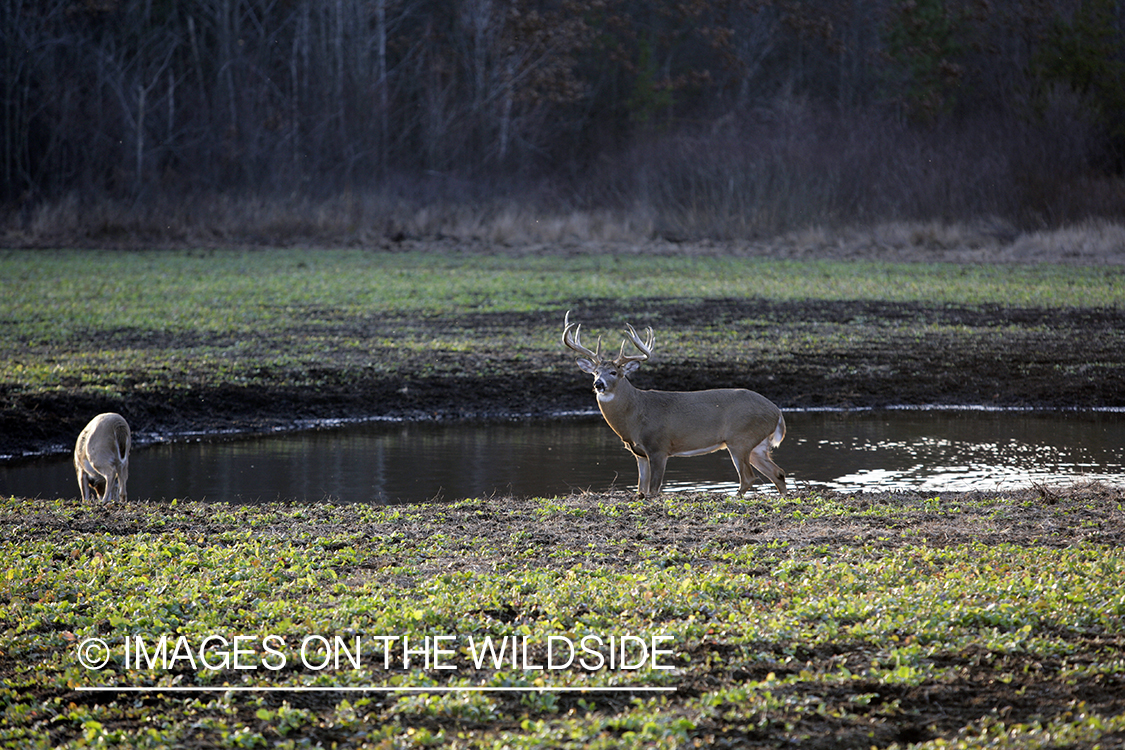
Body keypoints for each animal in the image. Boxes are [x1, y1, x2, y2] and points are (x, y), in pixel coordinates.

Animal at [560, 312, 787, 499]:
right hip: (757, 445)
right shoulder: (639, 453)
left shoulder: (659, 447)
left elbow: (653, 490)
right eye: (595, 372)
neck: (636, 413)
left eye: (614, 372)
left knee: (748, 478)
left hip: (740, 439)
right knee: (778, 473)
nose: (598, 384)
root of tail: (777, 411)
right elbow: (640, 489)